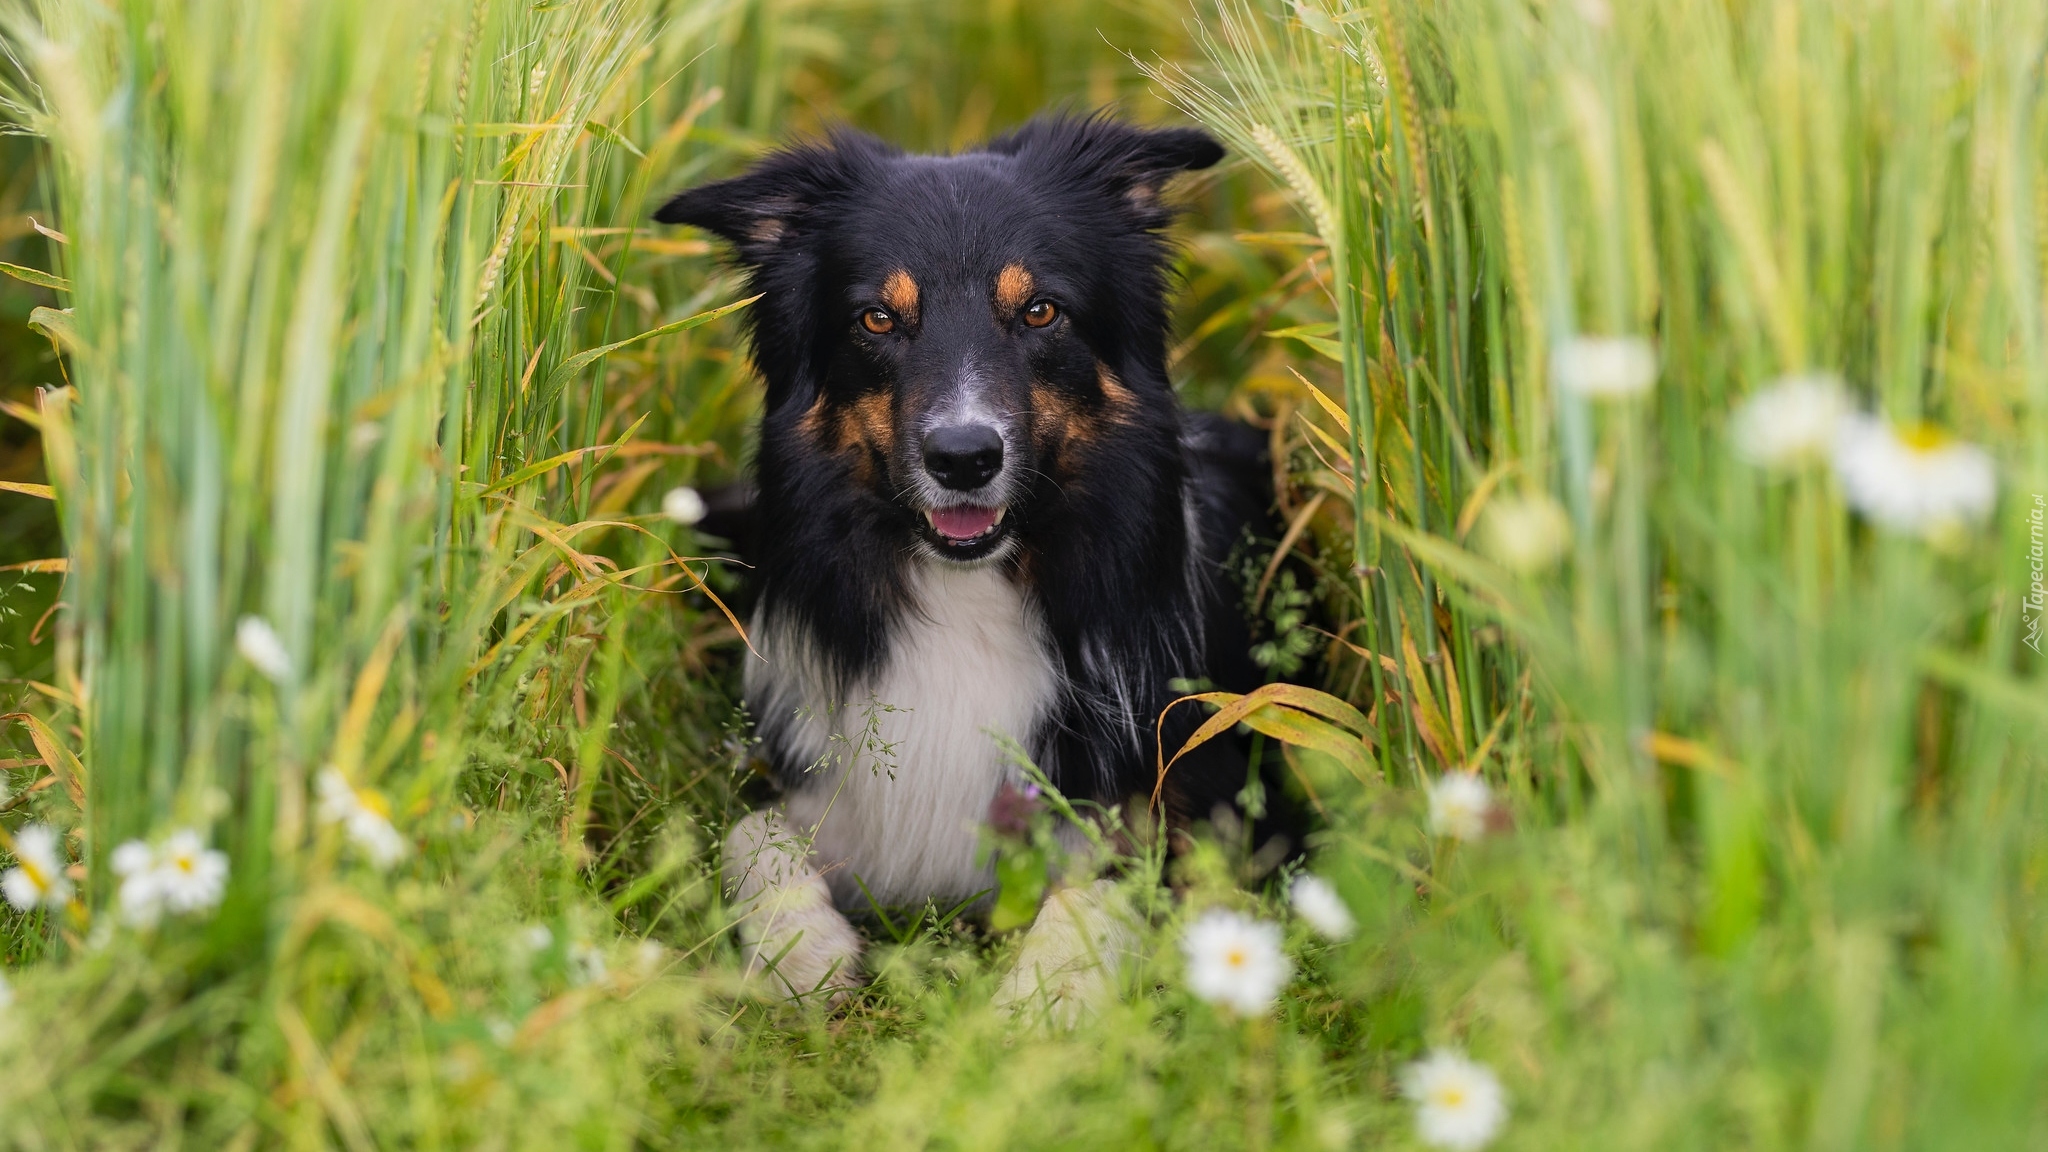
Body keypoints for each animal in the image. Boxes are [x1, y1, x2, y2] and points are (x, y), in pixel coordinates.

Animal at [659, 114, 1277, 1012]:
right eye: (877, 319)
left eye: (1042, 311)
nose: (962, 458)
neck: (972, 591)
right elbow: (750, 832)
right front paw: (805, 953)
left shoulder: (1221, 805)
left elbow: (1108, 886)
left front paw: (1035, 1003)